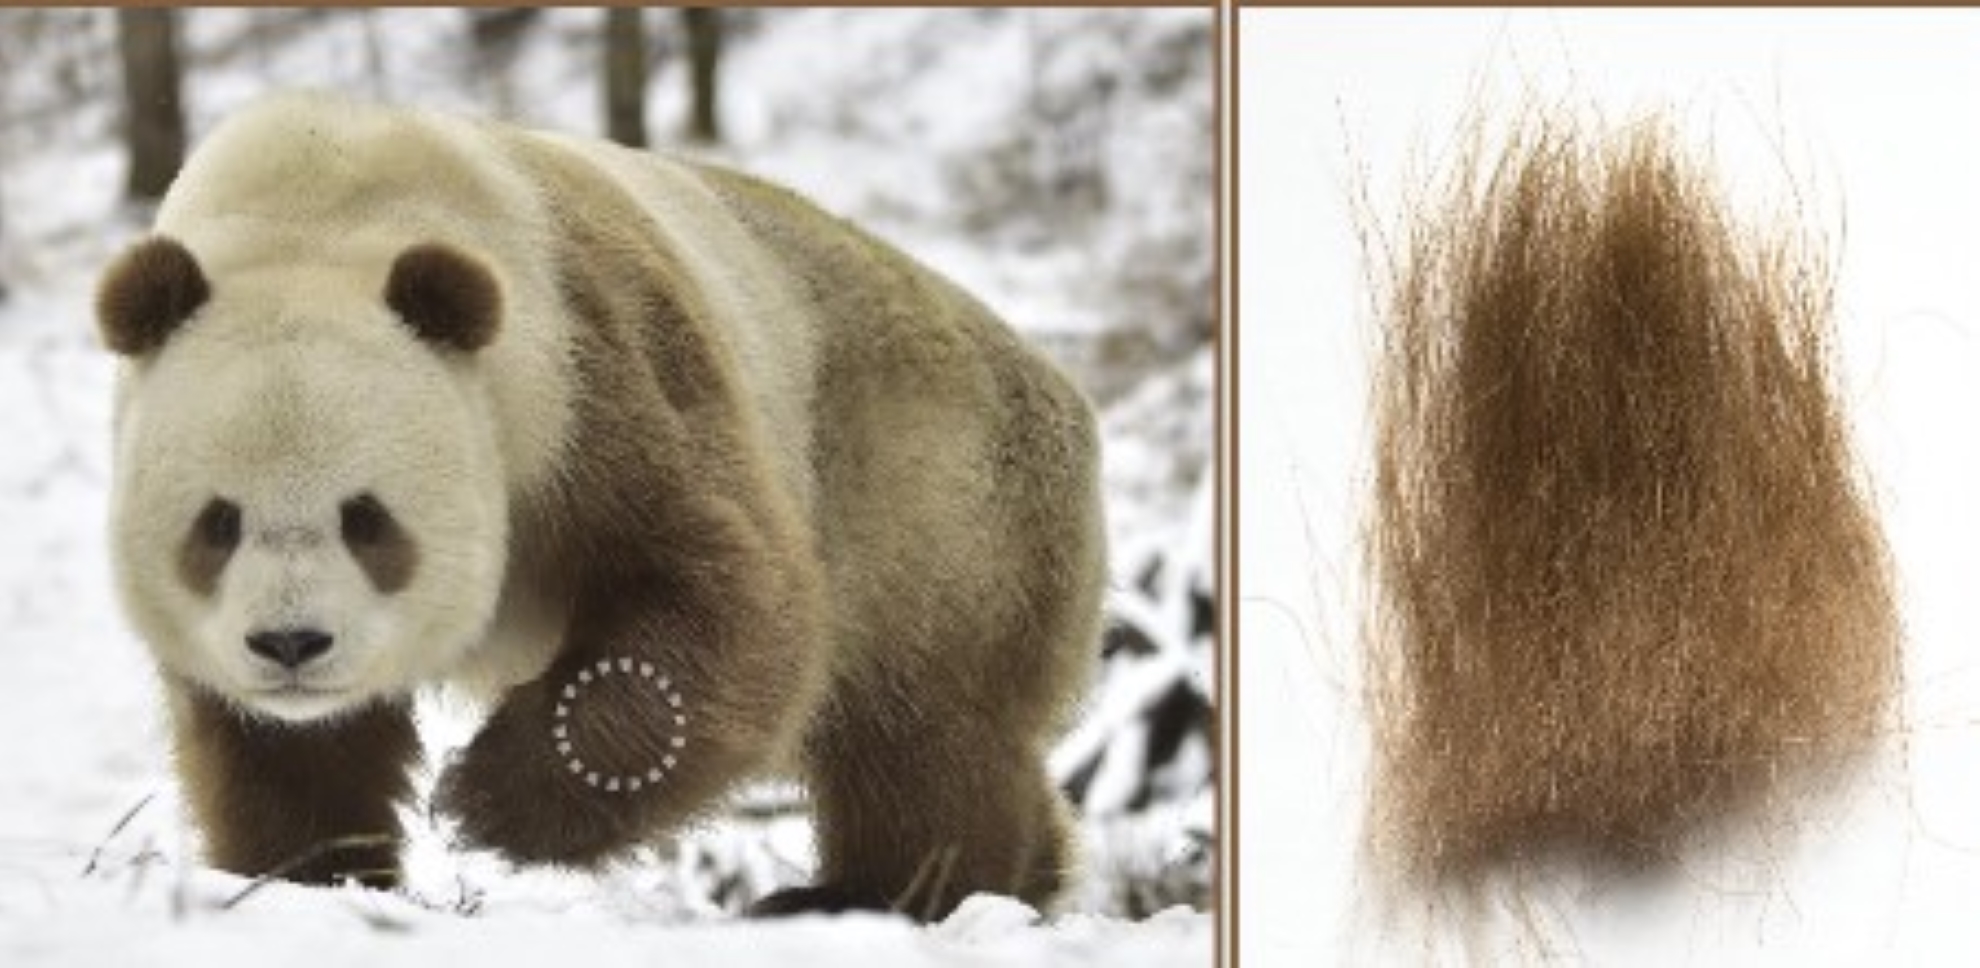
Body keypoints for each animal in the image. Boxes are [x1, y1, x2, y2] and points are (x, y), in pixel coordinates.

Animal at [96, 92, 1106, 921]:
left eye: (368, 518)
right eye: (218, 523)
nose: (292, 645)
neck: (324, 211)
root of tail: (1062, 391)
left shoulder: (586, 363)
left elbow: (726, 586)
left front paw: (489, 803)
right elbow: (289, 751)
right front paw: (312, 875)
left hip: (930, 490)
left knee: (920, 724)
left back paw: (889, 891)